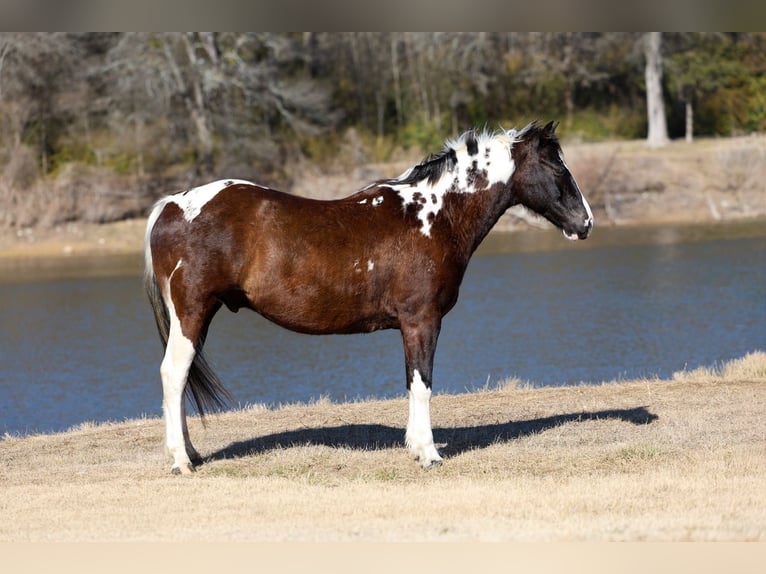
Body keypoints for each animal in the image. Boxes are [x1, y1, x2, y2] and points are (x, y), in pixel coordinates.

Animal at [144, 120, 593, 475]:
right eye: (556, 165)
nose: (586, 222)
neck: (434, 215)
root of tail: (171, 205)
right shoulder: (421, 321)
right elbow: (421, 383)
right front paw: (428, 453)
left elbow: (413, 383)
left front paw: (417, 447)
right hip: (192, 314)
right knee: (172, 374)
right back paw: (181, 461)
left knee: (180, 378)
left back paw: (191, 453)